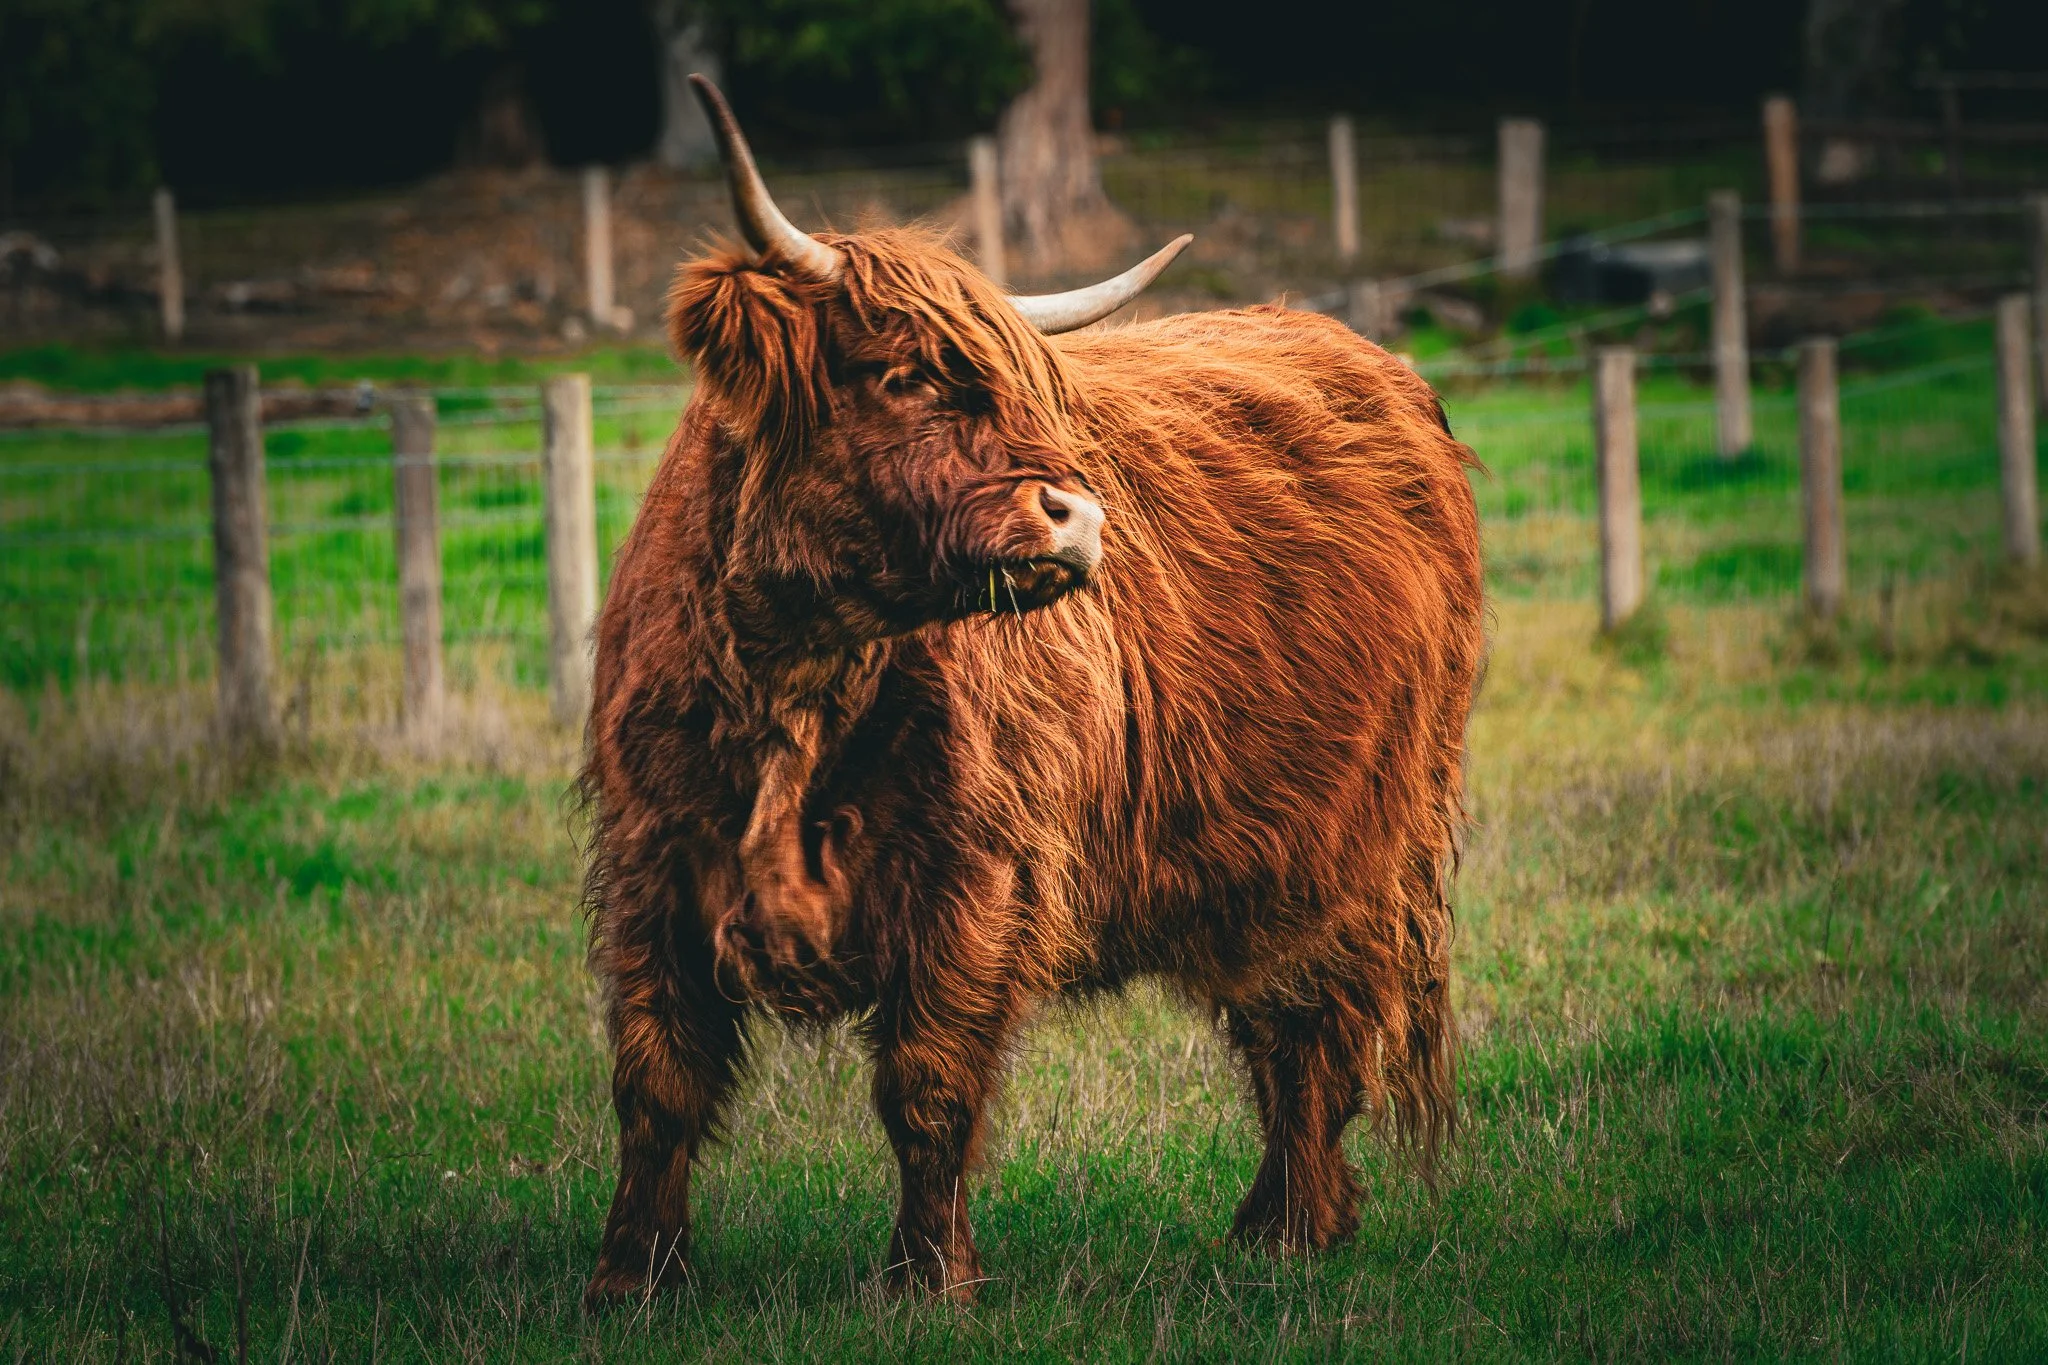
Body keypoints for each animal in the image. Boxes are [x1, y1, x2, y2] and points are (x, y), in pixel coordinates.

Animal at [579, 75, 1484, 1310]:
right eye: (903, 373)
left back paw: (1294, 1231)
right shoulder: (652, 868)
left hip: (1358, 846)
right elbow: (656, 1081)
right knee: (1279, 1023)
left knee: (1316, 1027)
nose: (1079, 516)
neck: (800, 683)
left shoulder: (975, 879)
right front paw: (632, 1278)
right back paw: (1278, 1225)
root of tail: (1360, 353)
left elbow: (927, 1086)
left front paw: (929, 1281)